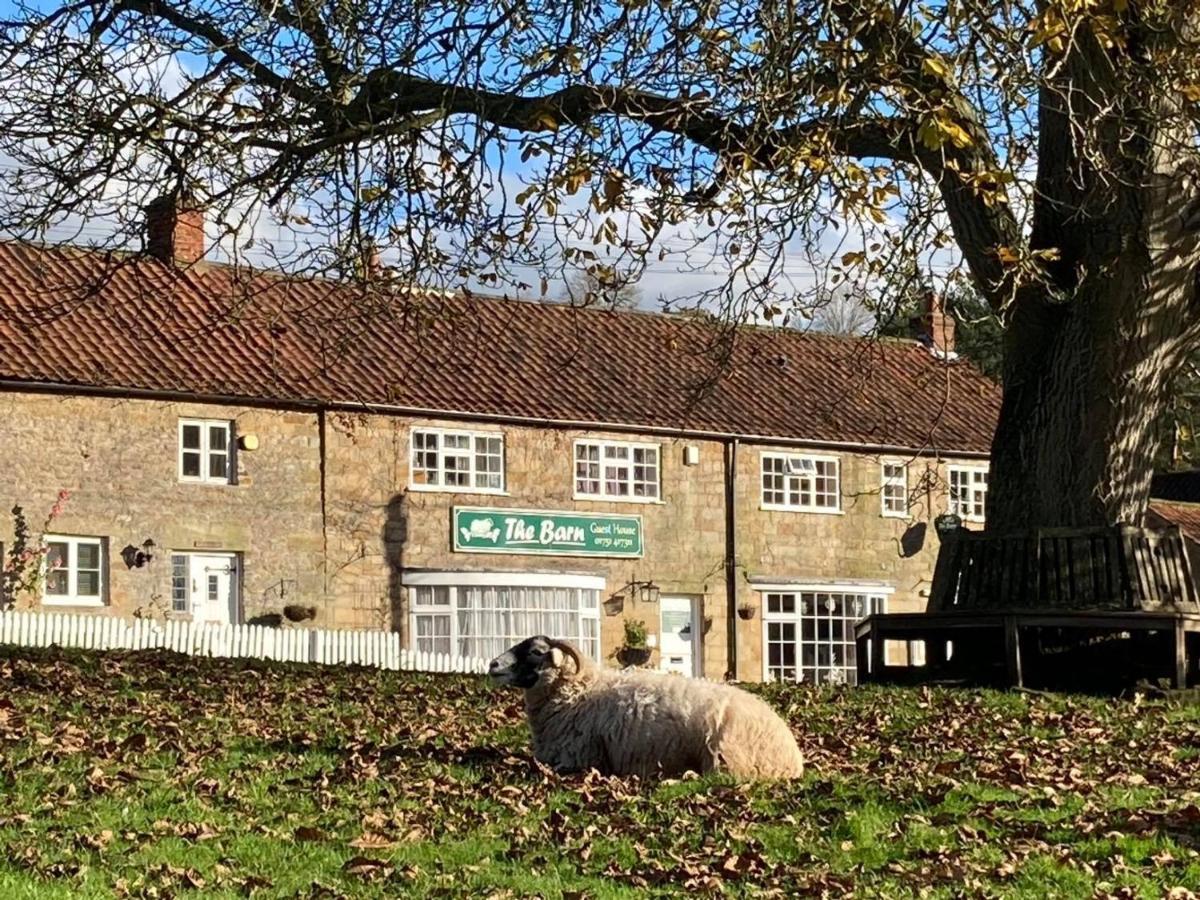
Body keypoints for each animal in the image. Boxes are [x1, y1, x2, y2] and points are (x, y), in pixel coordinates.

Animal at [487, 633, 806, 782]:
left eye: (536, 652)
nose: (493, 665)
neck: (579, 692)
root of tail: (793, 758)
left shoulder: (577, 758)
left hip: (726, 760)